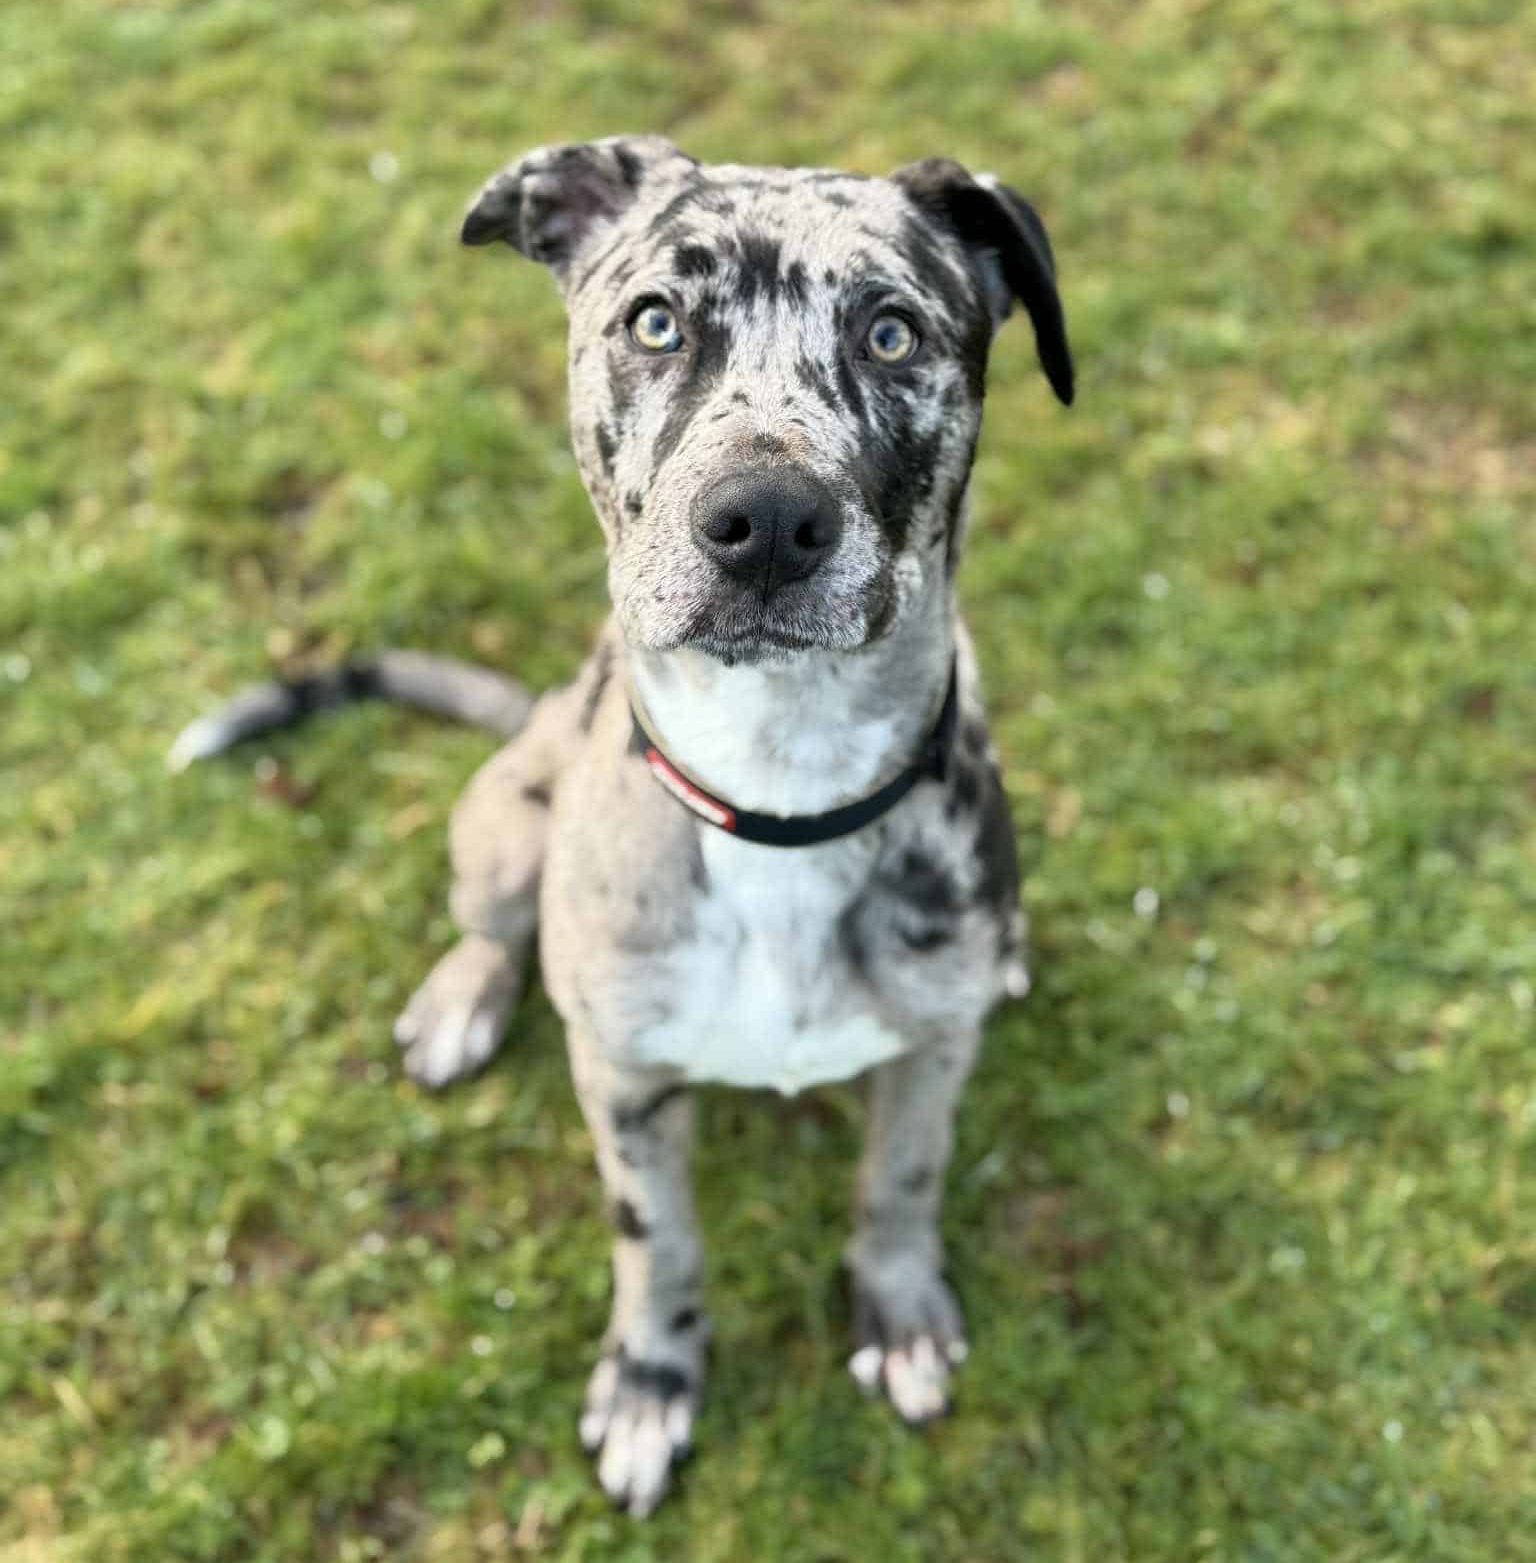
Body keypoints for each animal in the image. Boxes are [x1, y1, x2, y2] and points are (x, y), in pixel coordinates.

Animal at [172, 136, 1073, 1516]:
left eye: (891, 332)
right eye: (654, 322)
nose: (766, 523)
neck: (780, 793)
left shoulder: (928, 1060)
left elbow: (901, 1183)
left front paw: (902, 1311)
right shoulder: (627, 1090)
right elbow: (659, 1248)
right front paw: (651, 1382)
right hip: (502, 819)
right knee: (493, 926)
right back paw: (464, 999)